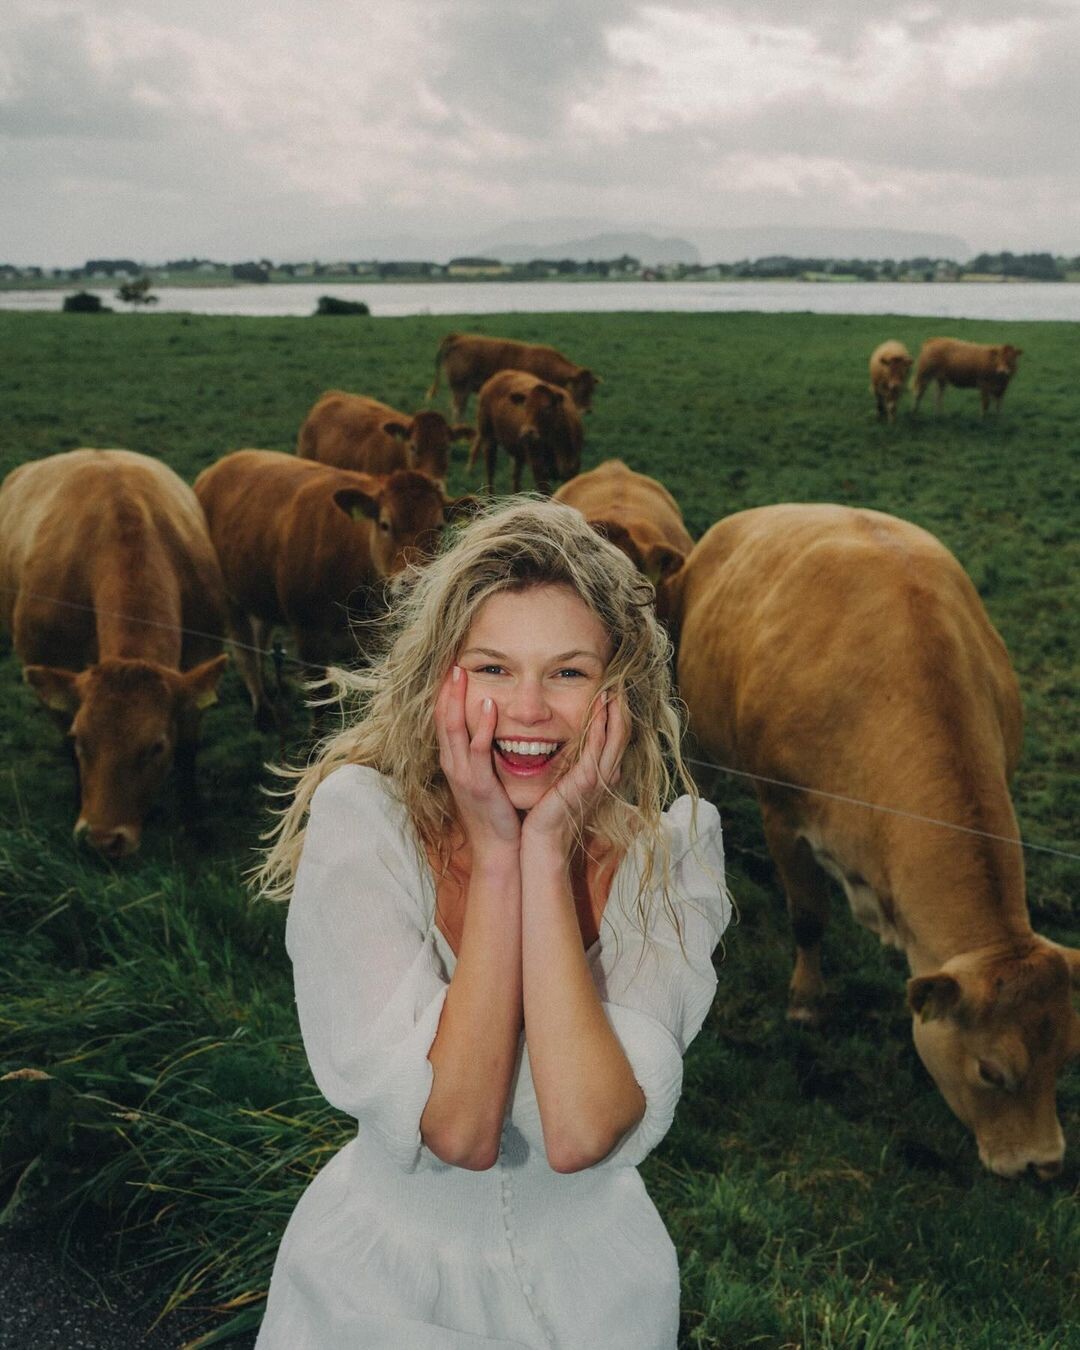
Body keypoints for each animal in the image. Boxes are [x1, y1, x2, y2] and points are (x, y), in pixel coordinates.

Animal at [0, 449, 228, 857]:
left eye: (156, 746)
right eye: (81, 740)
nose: (104, 839)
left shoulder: (201, 657)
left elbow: (188, 747)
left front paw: (192, 821)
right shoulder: (48, 663)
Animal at [194, 451, 476, 727]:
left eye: (439, 526)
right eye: (384, 524)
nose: (412, 582)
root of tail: (221, 465)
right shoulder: (308, 635)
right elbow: (321, 702)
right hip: (228, 598)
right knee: (244, 650)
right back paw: (263, 710)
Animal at [427, 332, 600, 419]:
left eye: (592, 389)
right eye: (581, 389)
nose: (588, 410)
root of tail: (460, 337)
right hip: (460, 386)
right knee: (458, 409)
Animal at [661, 503, 1078, 1178]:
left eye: (1066, 1059)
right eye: (991, 1071)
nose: (1041, 1165)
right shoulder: (784, 815)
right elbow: (808, 915)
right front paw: (807, 1001)